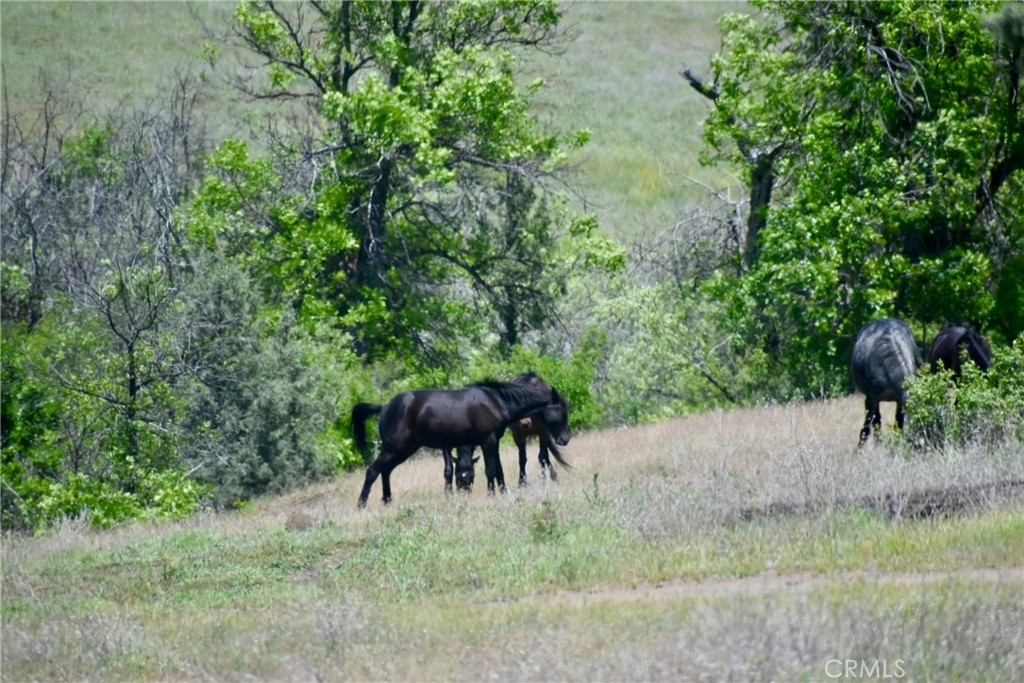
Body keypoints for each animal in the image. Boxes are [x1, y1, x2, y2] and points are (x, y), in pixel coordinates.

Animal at [354, 378, 573, 507]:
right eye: (562, 411)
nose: (565, 439)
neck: (496, 401)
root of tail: (384, 407)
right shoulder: (487, 441)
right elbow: (490, 470)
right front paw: (491, 495)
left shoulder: (493, 442)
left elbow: (498, 470)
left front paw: (502, 493)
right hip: (394, 449)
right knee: (373, 471)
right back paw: (362, 504)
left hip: (404, 449)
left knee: (385, 471)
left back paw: (387, 501)